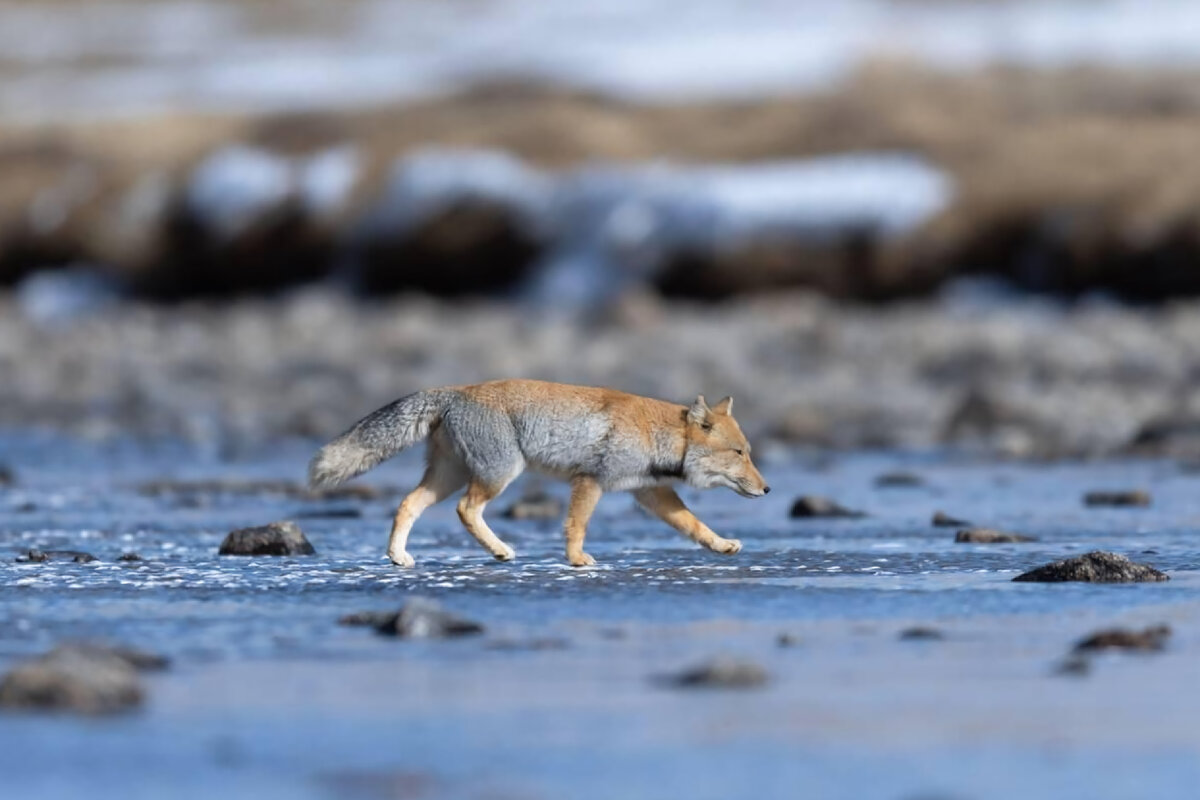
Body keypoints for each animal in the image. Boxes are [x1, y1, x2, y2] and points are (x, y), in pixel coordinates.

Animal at [309, 379, 768, 566]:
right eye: (740, 453)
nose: (767, 489)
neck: (658, 434)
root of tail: (456, 391)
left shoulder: (650, 493)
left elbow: (695, 526)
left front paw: (722, 545)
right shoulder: (590, 481)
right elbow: (576, 526)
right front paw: (577, 560)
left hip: (448, 478)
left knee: (407, 503)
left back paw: (399, 556)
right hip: (497, 474)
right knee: (465, 509)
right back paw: (499, 550)